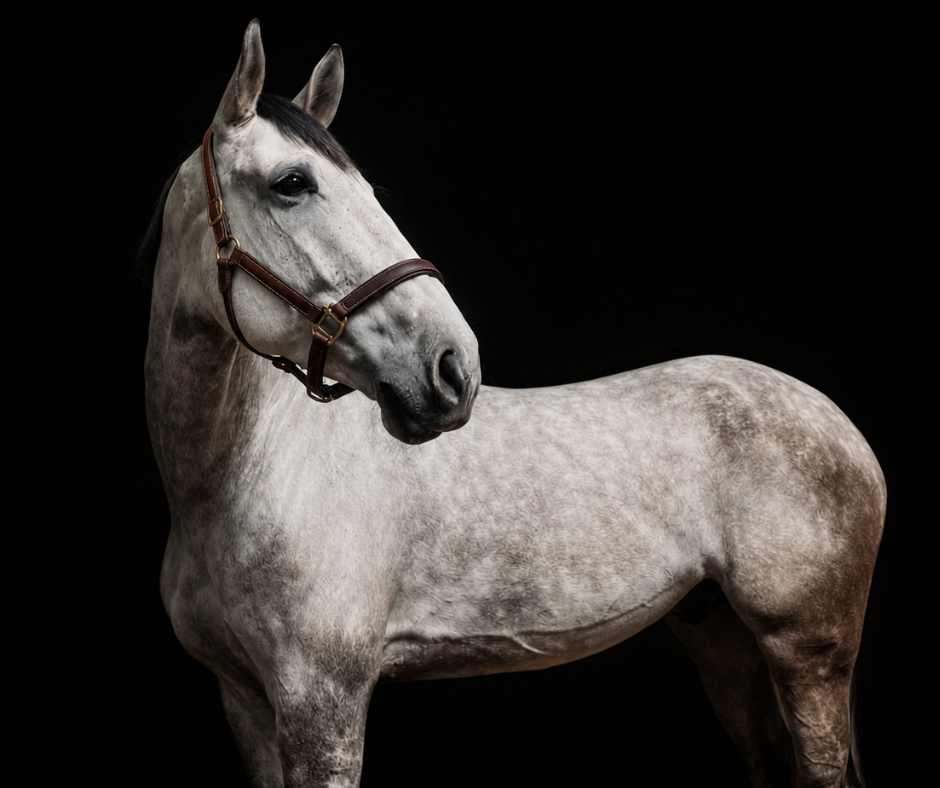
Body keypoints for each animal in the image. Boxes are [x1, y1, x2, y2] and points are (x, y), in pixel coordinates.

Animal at [143, 20, 885, 788]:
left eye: (367, 189)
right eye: (292, 183)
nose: (453, 366)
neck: (235, 483)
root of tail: (837, 422)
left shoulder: (323, 702)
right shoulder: (247, 702)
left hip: (806, 655)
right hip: (725, 643)